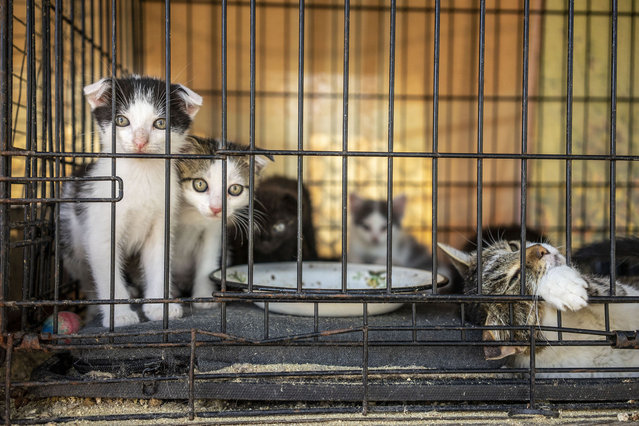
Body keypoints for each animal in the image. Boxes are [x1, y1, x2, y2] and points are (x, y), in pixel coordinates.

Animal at [61, 75, 202, 326]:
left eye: (160, 124)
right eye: (121, 120)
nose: (140, 141)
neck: (140, 174)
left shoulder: (162, 222)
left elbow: (159, 263)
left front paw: (160, 308)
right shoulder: (100, 231)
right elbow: (107, 274)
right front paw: (119, 315)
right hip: (72, 242)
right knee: (86, 276)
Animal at [174, 136, 272, 306]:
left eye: (235, 189)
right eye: (200, 184)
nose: (216, 208)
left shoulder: (213, 232)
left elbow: (208, 261)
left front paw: (204, 296)